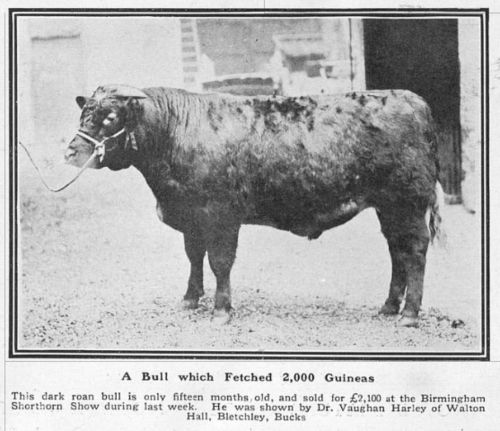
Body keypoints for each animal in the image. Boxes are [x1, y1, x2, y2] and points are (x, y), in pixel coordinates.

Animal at [65, 84, 442, 328]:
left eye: (111, 117)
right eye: (83, 113)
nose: (70, 152)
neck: (175, 132)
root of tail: (412, 99)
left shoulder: (220, 215)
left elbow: (219, 262)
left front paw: (221, 311)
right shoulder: (191, 217)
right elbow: (194, 257)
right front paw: (190, 299)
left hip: (407, 203)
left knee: (415, 251)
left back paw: (409, 315)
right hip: (389, 207)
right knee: (397, 251)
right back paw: (389, 307)